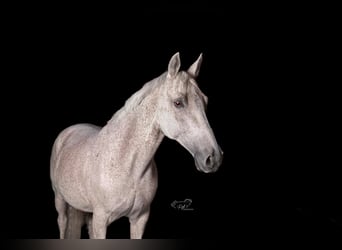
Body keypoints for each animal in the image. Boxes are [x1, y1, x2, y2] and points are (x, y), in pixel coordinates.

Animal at [49, 52, 223, 238]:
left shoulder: (140, 218)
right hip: (60, 200)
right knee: (62, 222)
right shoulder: (101, 220)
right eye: (178, 103)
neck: (127, 164)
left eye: (205, 101)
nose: (214, 157)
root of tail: (69, 131)